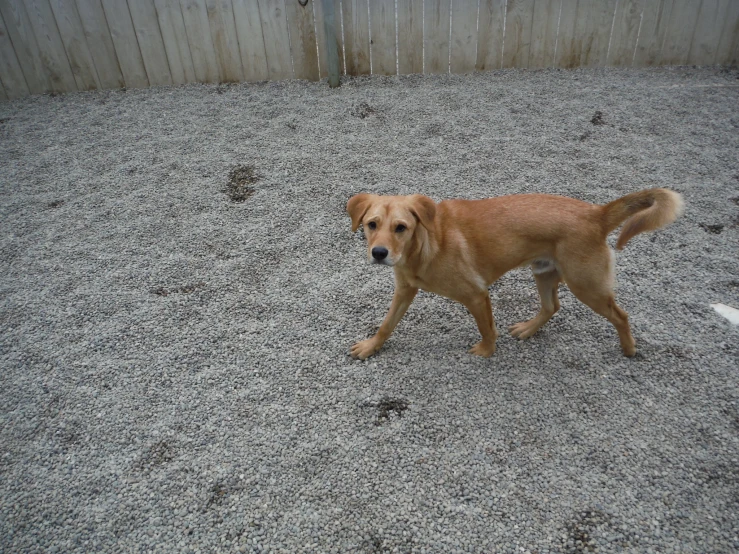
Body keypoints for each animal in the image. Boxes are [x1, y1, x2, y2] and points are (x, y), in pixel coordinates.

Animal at [350, 188, 684, 358]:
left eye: (401, 227)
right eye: (371, 224)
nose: (379, 253)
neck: (426, 245)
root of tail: (597, 214)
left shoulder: (476, 295)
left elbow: (487, 329)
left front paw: (486, 351)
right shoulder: (404, 290)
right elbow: (387, 324)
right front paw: (371, 347)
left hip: (587, 286)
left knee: (621, 316)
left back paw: (628, 348)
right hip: (545, 273)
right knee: (552, 306)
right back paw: (528, 329)